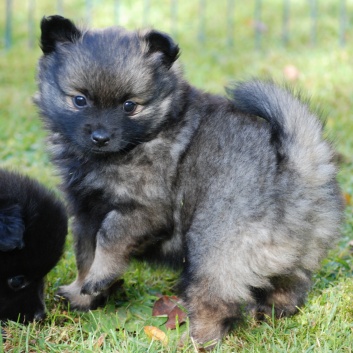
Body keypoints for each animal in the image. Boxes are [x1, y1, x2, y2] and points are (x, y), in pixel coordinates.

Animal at [36, 15, 344, 346]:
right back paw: (270, 314)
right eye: (79, 100)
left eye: (130, 105)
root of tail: (297, 167)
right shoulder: (85, 213)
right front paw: (80, 293)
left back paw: (196, 339)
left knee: (215, 302)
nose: (101, 137)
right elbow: (84, 253)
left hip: (214, 248)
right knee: (289, 288)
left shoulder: (145, 210)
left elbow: (108, 238)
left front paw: (98, 278)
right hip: (298, 256)